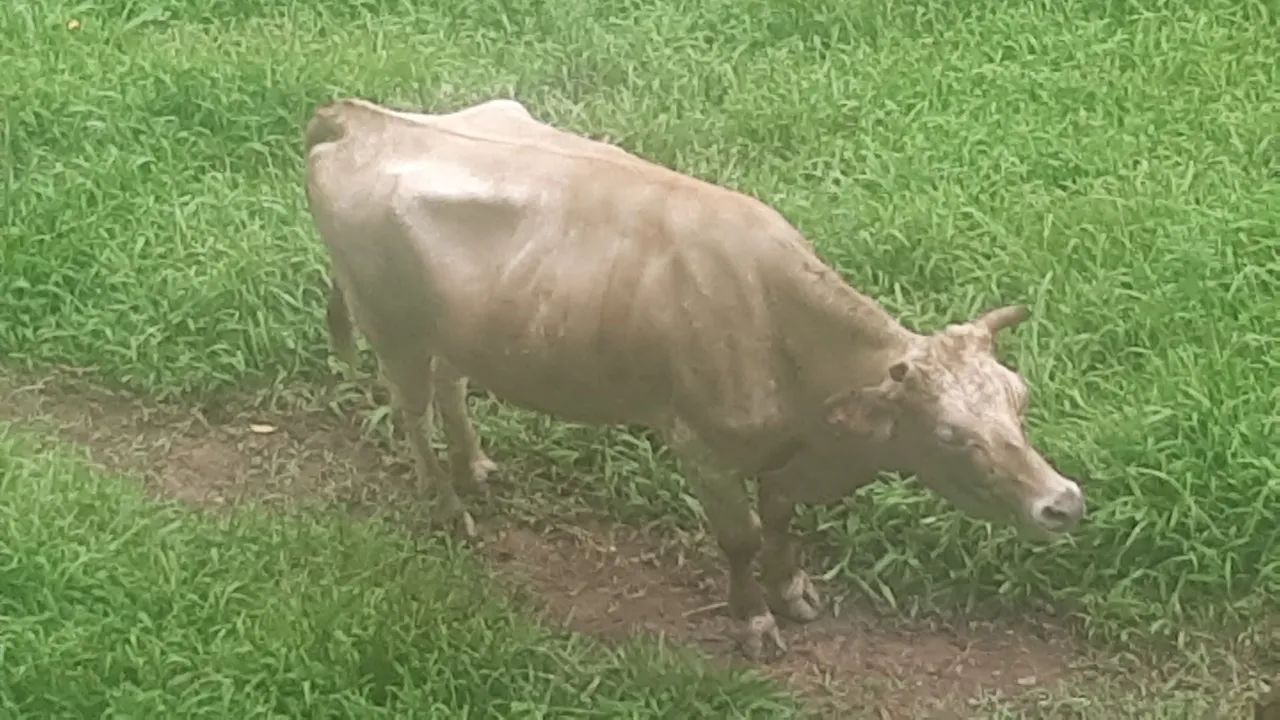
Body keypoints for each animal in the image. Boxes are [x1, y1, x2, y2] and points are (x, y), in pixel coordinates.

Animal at [303, 97, 1086, 660]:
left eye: (1019, 399)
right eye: (950, 434)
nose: (1064, 503)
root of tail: (361, 116)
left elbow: (781, 518)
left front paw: (792, 590)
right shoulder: (701, 448)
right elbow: (740, 536)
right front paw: (754, 624)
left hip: (453, 328)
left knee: (451, 388)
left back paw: (477, 470)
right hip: (389, 325)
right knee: (412, 412)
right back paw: (449, 508)